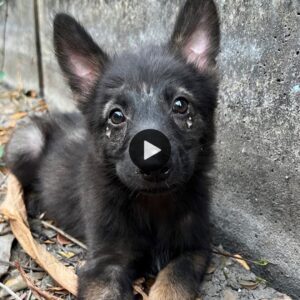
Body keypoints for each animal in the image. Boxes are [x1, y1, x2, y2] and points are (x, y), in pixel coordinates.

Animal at [5, 1, 220, 298]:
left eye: (180, 105)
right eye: (116, 116)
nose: (153, 164)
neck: (153, 204)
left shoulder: (193, 250)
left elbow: (175, 281)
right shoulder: (105, 264)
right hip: (26, 142)